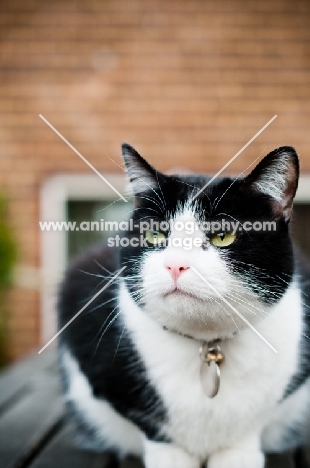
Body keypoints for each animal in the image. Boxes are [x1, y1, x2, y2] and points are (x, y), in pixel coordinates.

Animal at [58, 144, 310, 466]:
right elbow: (151, 424)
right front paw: (170, 457)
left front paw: (238, 454)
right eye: (155, 234)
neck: (207, 343)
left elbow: (252, 423)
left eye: (222, 236)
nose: (175, 265)